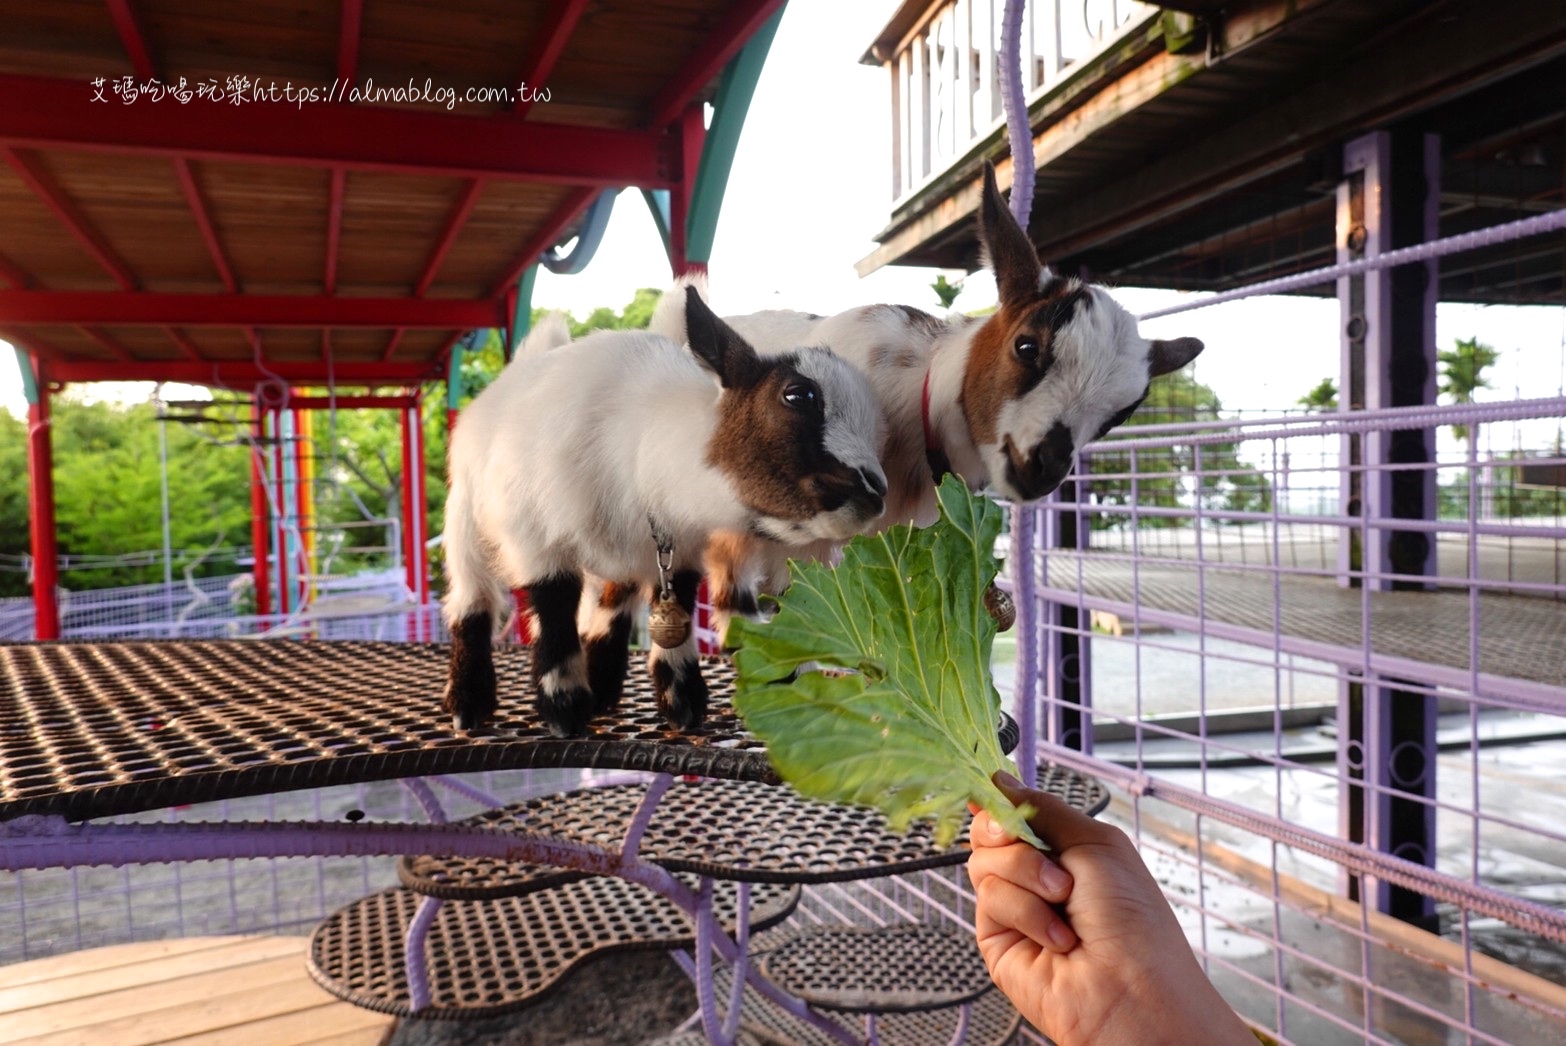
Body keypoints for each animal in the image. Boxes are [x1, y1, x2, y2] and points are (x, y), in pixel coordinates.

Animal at [444, 288, 883, 735]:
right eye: (796, 395)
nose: (876, 493)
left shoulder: (681, 548)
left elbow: (678, 604)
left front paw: (682, 702)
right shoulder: (534, 540)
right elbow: (554, 609)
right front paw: (563, 710)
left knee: (612, 598)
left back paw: (604, 685)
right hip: (465, 514)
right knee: (471, 598)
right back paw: (469, 703)